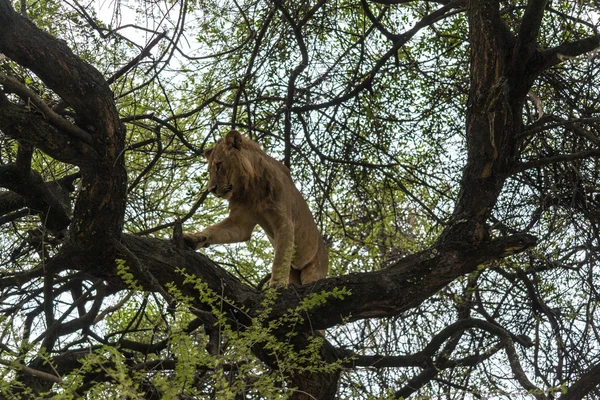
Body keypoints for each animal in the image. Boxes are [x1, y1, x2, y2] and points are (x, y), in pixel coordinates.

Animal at [185, 131, 330, 288]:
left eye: (218, 165)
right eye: (209, 171)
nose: (211, 189)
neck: (251, 189)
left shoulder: (284, 222)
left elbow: (280, 258)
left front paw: (276, 284)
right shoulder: (240, 223)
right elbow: (212, 229)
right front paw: (194, 237)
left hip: (314, 267)